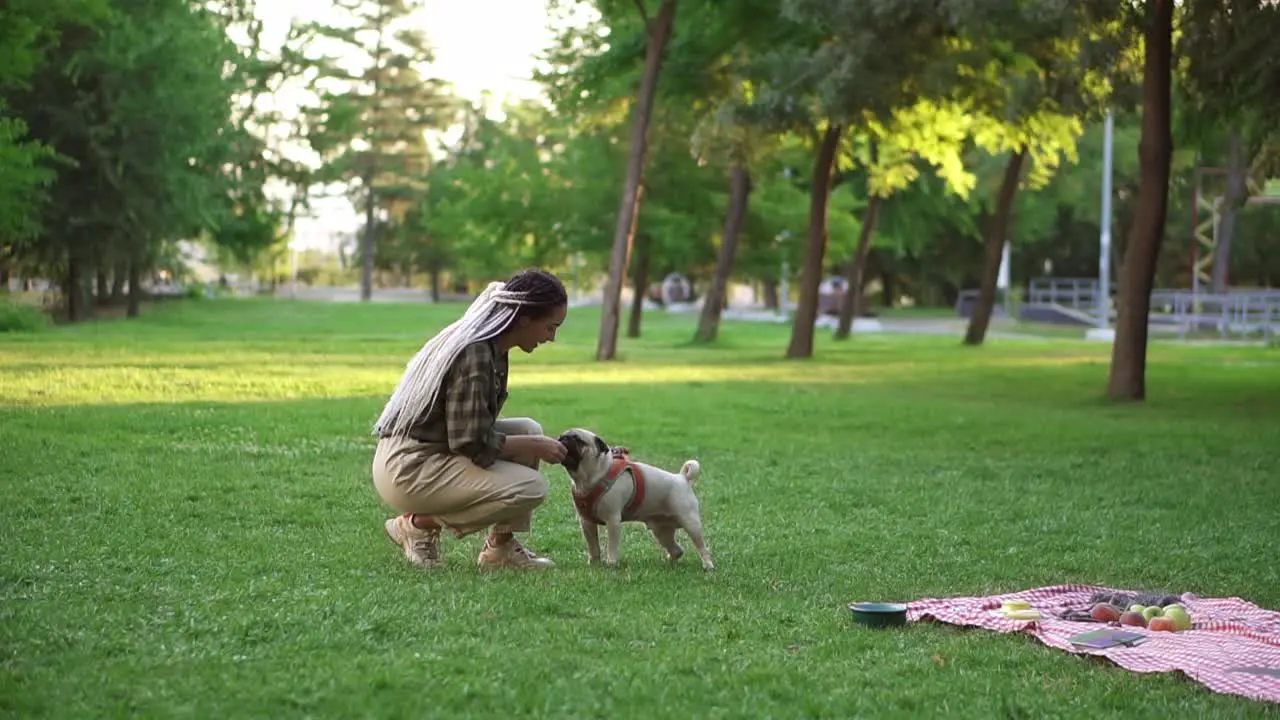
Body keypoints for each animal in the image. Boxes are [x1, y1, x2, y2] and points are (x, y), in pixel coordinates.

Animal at [555, 422, 716, 568]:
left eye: (578, 440)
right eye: (562, 436)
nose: (562, 439)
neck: (592, 476)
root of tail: (682, 477)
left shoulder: (612, 520)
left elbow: (611, 546)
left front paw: (612, 564)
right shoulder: (587, 522)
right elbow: (593, 546)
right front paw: (594, 563)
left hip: (690, 522)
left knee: (701, 547)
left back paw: (708, 566)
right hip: (661, 530)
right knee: (677, 550)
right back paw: (668, 563)